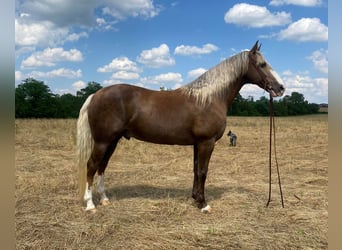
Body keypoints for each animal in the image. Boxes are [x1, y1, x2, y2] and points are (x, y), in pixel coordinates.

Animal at [77, 41, 286, 213]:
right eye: (262, 64)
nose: (281, 88)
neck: (209, 98)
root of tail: (96, 94)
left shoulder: (197, 144)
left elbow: (196, 170)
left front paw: (195, 198)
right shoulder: (206, 142)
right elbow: (203, 171)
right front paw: (203, 204)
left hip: (112, 141)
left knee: (102, 166)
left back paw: (104, 199)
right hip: (103, 141)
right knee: (91, 165)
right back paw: (90, 205)